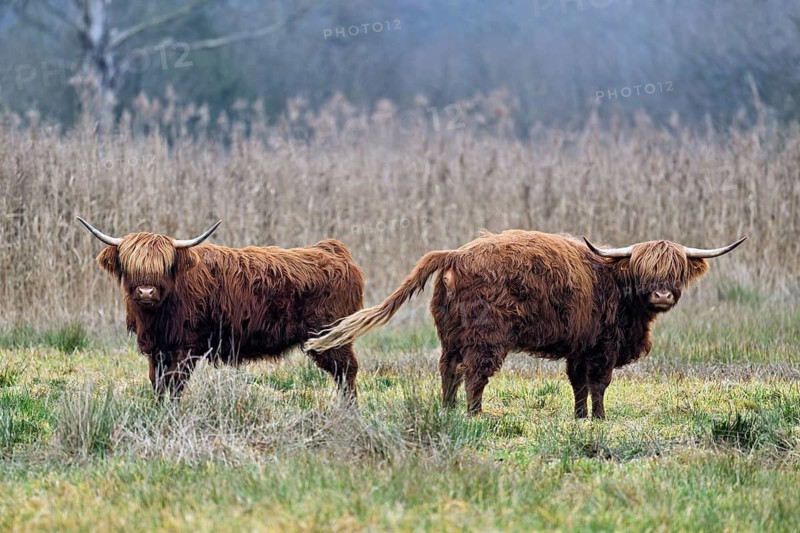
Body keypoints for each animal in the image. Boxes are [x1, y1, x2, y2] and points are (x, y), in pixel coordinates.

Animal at [78, 217, 364, 401]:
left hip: (330, 336)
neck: (157, 316)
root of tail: (333, 250)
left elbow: (175, 383)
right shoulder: (157, 347)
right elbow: (158, 383)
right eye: (131, 265)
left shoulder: (186, 346)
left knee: (346, 372)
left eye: (164, 265)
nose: (146, 292)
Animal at [304, 230, 745, 418]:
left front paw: (580, 418)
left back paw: (447, 409)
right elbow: (599, 384)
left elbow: (578, 384)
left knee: (448, 369)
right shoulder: (603, 346)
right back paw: (475, 414)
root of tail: (455, 254)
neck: (617, 285)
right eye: (645, 268)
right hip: (486, 335)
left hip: (451, 334)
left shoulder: (579, 346)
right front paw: (600, 419)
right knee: (474, 374)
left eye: (675, 269)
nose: (662, 295)